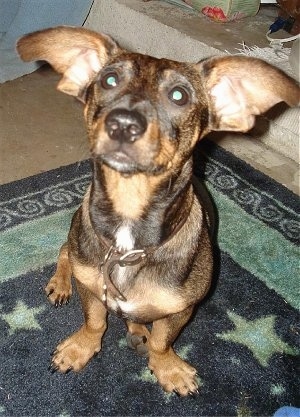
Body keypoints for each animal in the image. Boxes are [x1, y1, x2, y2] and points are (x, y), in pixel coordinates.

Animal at [17, 26, 300, 396]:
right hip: (77, 228)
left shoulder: (182, 309)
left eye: (179, 95)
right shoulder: (92, 289)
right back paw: (62, 283)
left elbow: (162, 340)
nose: (122, 124)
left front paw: (167, 367)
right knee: (66, 250)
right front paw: (80, 348)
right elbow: (94, 321)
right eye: (108, 80)